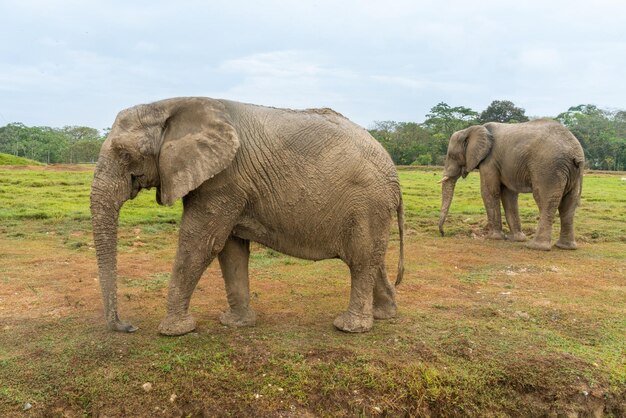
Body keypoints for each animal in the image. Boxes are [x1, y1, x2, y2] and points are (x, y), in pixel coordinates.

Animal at [91, 96, 404, 334]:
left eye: (125, 154)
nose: (128, 326)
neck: (168, 105)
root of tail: (394, 175)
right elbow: (230, 250)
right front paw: (236, 324)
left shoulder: (224, 180)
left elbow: (200, 244)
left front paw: (173, 331)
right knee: (373, 259)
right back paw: (385, 315)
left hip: (367, 202)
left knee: (361, 260)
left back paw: (349, 327)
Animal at [436, 120, 584, 251]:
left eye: (452, 156)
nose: (443, 234)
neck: (471, 129)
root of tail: (575, 154)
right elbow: (509, 195)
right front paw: (516, 239)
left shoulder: (490, 161)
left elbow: (489, 191)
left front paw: (494, 238)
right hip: (571, 173)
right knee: (568, 205)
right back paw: (565, 247)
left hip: (548, 168)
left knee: (544, 200)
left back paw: (535, 247)